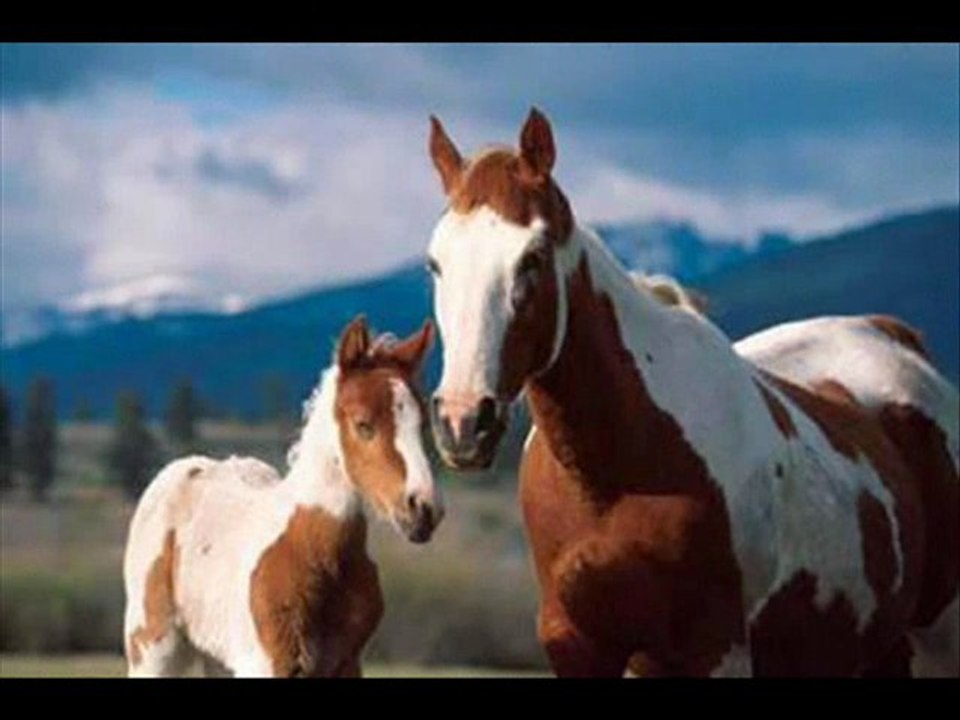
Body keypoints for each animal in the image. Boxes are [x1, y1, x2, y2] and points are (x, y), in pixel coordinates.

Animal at [122, 316, 441, 677]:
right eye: (363, 424)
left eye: (422, 426)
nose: (423, 509)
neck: (315, 551)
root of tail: (185, 469)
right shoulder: (270, 662)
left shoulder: (347, 663)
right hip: (151, 647)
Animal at [423, 107, 959, 677]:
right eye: (435, 263)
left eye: (532, 257)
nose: (462, 422)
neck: (615, 474)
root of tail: (893, 335)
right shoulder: (576, 643)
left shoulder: (716, 647)